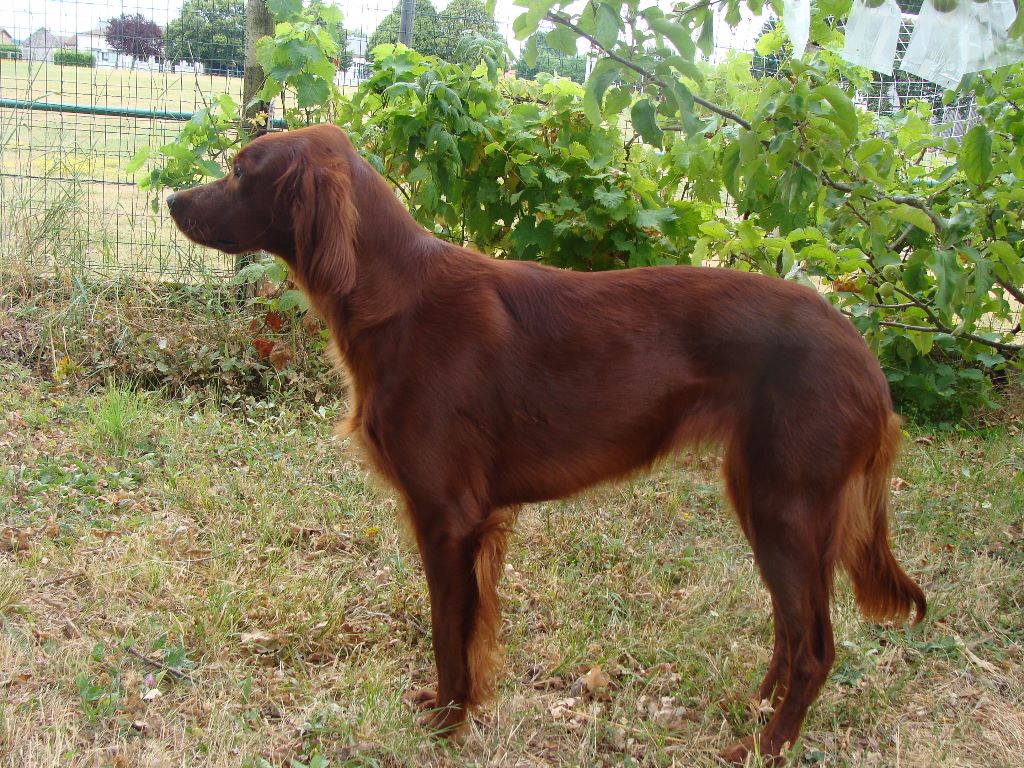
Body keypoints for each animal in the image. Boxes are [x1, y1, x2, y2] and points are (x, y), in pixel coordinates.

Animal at [167, 124, 929, 765]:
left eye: (241, 170)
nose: (172, 199)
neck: (393, 295)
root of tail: (864, 357)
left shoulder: (449, 516)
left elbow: (449, 632)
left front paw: (447, 722)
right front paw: (454, 710)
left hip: (788, 505)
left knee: (816, 647)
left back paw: (765, 747)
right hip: (760, 496)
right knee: (790, 628)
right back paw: (757, 708)